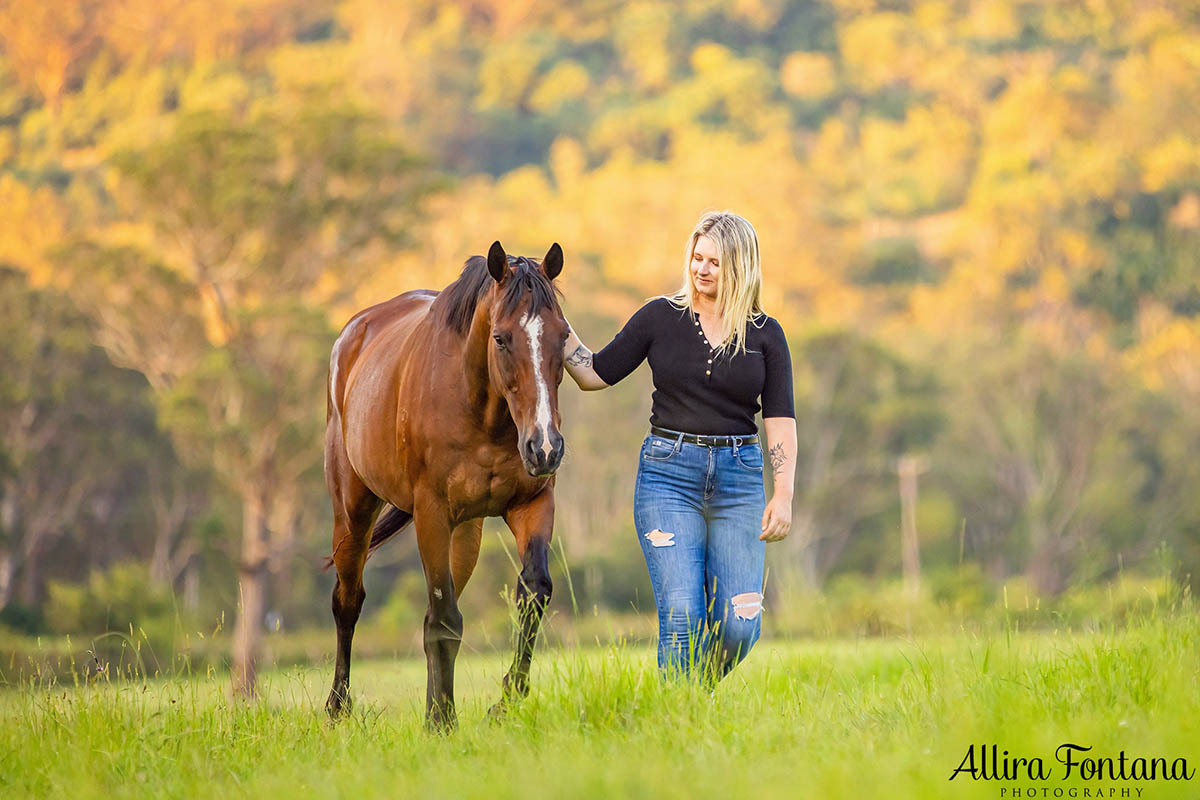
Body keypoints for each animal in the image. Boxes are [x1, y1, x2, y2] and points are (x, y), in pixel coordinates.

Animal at [321, 241, 568, 729]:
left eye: (563, 336)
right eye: (501, 338)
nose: (545, 447)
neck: (481, 412)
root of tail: (351, 336)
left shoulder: (532, 502)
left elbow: (533, 593)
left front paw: (502, 700)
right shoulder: (431, 514)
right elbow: (445, 619)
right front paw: (442, 722)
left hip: (466, 532)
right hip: (353, 512)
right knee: (348, 600)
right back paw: (338, 707)